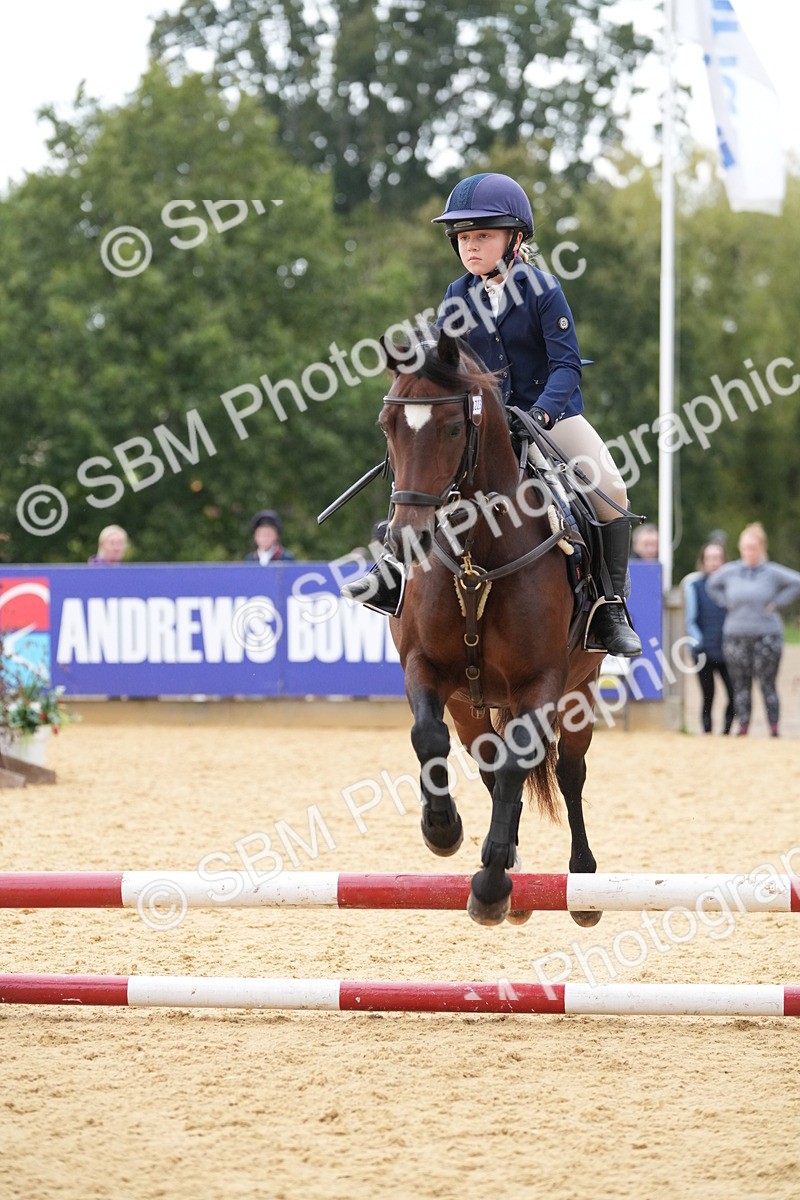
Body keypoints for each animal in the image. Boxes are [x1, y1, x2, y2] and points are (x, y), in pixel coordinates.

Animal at [378, 325, 605, 928]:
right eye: (388, 425)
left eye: (454, 427)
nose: (407, 538)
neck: (476, 554)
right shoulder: (426, 668)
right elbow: (427, 736)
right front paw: (442, 830)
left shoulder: (541, 684)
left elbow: (520, 770)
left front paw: (490, 885)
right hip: (472, 704)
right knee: (485, 760)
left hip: (579, 690)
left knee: (568, 772)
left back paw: (582, 882)